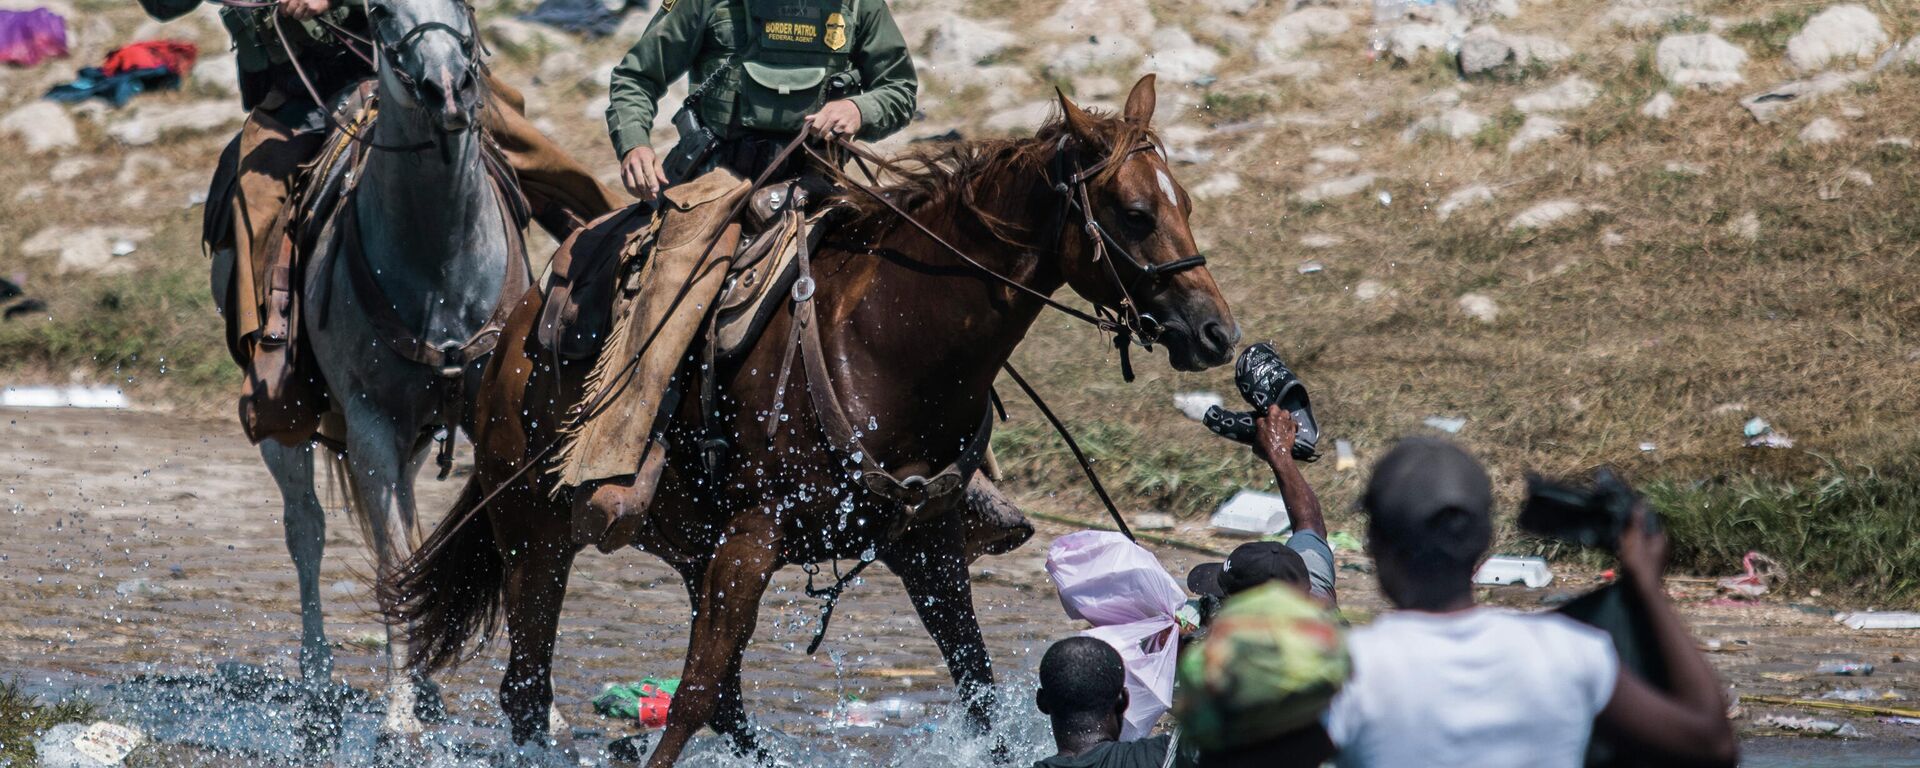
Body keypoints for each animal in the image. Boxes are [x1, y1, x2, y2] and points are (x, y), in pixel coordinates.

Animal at [255, 0, 529, 741]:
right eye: (379, 12)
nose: (447, 91)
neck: (440, 260)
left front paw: (540, 710)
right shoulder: (371, 426)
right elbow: (391, 563)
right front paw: (398, 711)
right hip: (288, 424)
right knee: (307, 531)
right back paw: (320, 682)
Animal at [382, 74, 1236, 764]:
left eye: (1189, 205)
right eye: (1135, 213)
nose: (1215, 332)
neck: (889, 343)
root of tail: (509, 338)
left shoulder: (926, 546)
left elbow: (979, 690)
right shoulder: (753, 541)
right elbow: (689, 699)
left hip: (686, 546)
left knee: (721, 703)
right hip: (536, 533)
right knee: (531, 690)